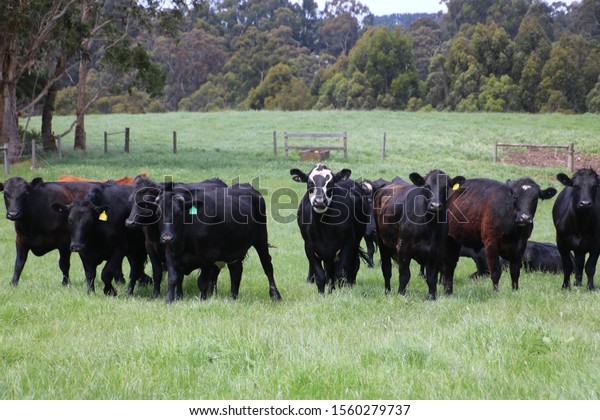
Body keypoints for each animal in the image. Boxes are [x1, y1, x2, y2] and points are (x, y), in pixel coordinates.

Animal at [288, 164, 368, 296]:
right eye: (310, 183)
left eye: (330, 183)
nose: (320, 201)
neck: (324, 229)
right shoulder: (309, 246)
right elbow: (320, 275)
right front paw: (322, 295)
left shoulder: (348, 242)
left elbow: (341, 272)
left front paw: (340, 293)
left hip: (355, 242)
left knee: (353, 264)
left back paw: (349, 284)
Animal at [376, 169, 464, 300]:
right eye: (427, 186)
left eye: (446, 187)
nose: (435, 205)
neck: (429, 226)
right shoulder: (403, 249)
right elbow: (404, 275)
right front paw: (401, 294)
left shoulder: (437, 252)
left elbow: (432, 278)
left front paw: (432, 297)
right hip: (382, 242)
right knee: (386, 269)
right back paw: (388, 292)